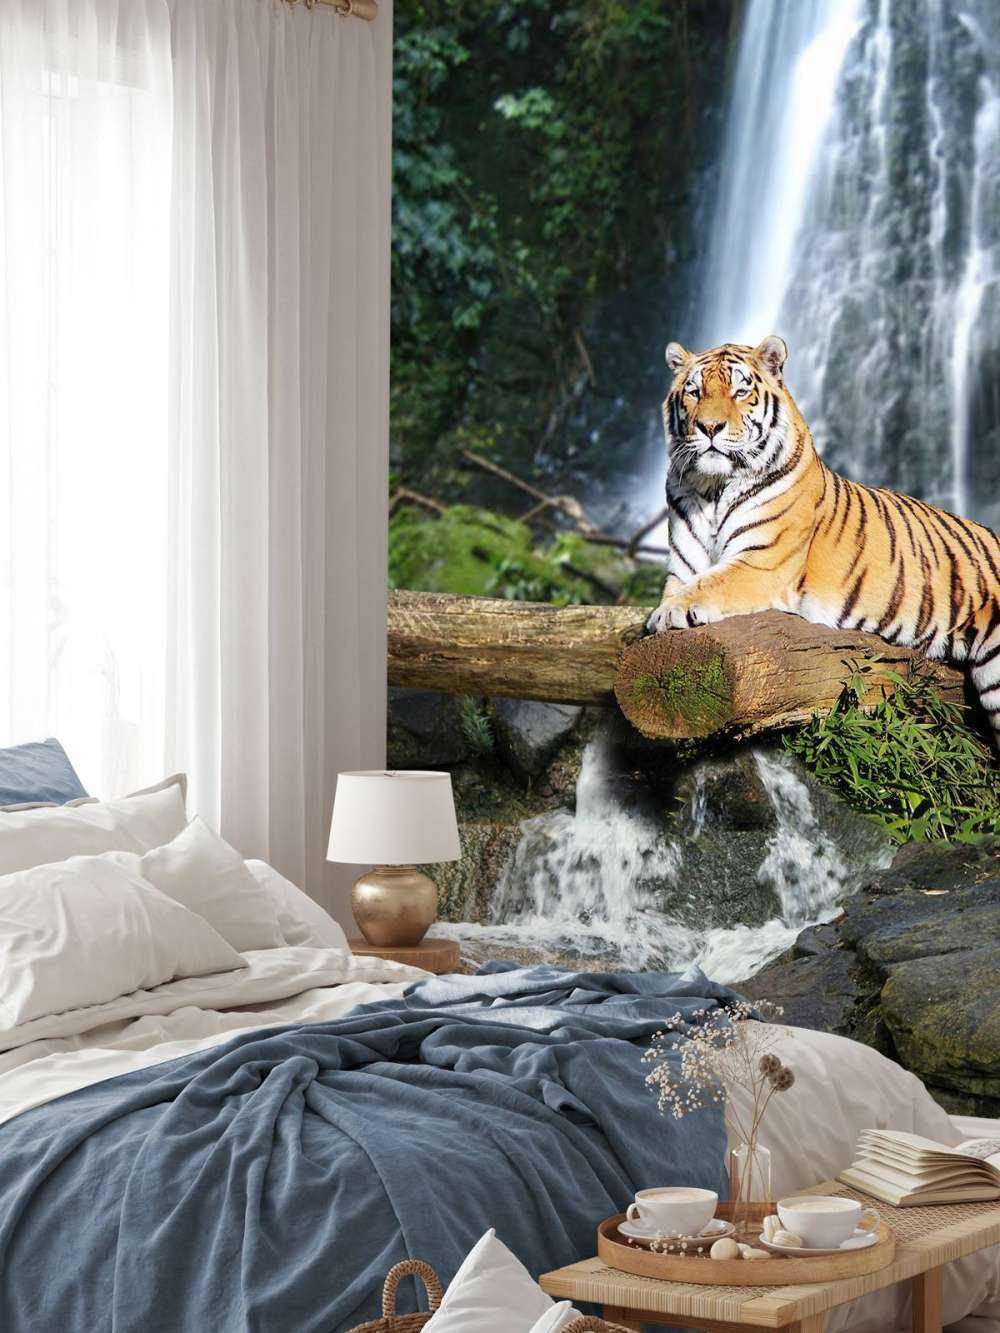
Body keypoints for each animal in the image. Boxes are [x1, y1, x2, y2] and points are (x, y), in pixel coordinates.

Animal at [647, 335, 1000, 743]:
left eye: (740, 391)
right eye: (694, 392)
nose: (709, 427)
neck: (712, 487)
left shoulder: (761, 561)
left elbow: (710, 583)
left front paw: (665, 614)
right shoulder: (682, 568)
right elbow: (687, 584)